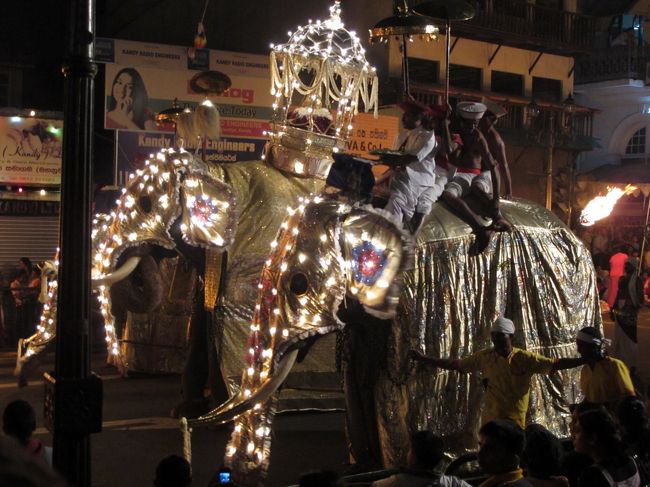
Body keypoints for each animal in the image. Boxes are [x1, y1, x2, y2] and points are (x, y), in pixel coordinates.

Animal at [182, 196, 596, 486]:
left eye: (298, 285)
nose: (225, 476)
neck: (357, 212)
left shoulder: (412, 303)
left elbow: (398, 382)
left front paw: (399, 467)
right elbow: (356, 375)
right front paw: (360, 467)